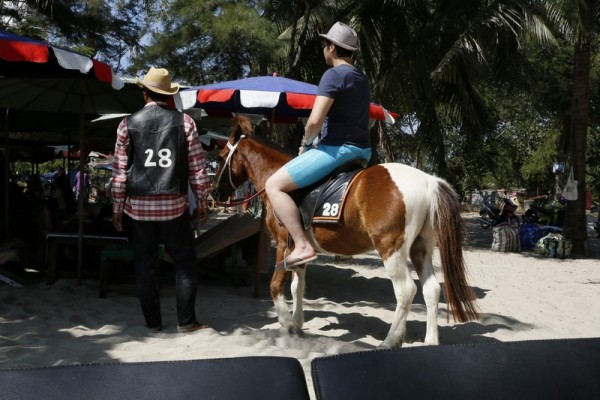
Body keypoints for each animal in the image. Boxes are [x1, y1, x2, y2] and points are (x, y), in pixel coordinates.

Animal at [213, 115, 480, 346]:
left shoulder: (282, 245)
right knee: (431, 289)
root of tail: (428, 180)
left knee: (406, 290)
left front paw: (287, 324)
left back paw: (391, 340)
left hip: (390, 249)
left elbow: (276, 286)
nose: (215, 193)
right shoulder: (299, 252)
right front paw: (297, 324)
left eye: (221, 156)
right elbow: (297, 287)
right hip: (420, 248)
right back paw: (430, 340)